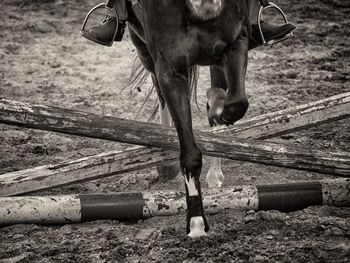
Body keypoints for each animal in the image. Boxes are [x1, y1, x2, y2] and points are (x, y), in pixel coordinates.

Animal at [127, 0, 250, 238]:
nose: (207, 5)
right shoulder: (169, 69)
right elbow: (190, 155)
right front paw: (196, 222)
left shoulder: (236, 41)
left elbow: (236, 104)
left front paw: (217, 109)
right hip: (144, 49)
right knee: (159, 92)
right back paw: (166, 164)